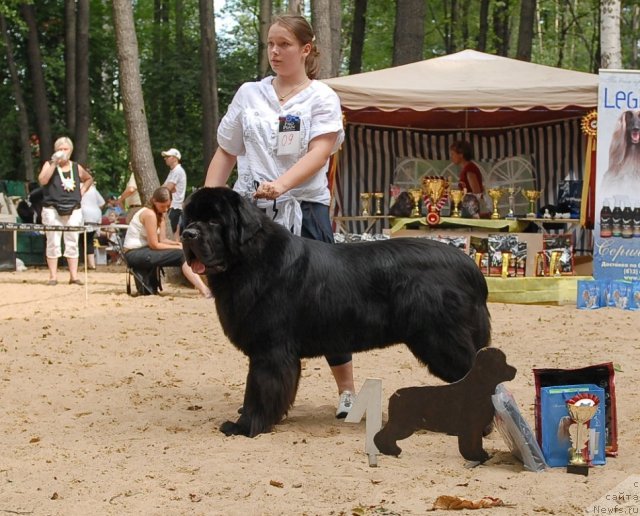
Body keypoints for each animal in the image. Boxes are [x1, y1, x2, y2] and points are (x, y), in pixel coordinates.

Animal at [182, 187, 492, 438]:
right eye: (189, 219)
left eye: (214, 220)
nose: (187, 234)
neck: (248, 260)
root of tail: (471, 267)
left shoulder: (269, 350)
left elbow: (258, 390)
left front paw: (245, 426)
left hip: (440, 341)